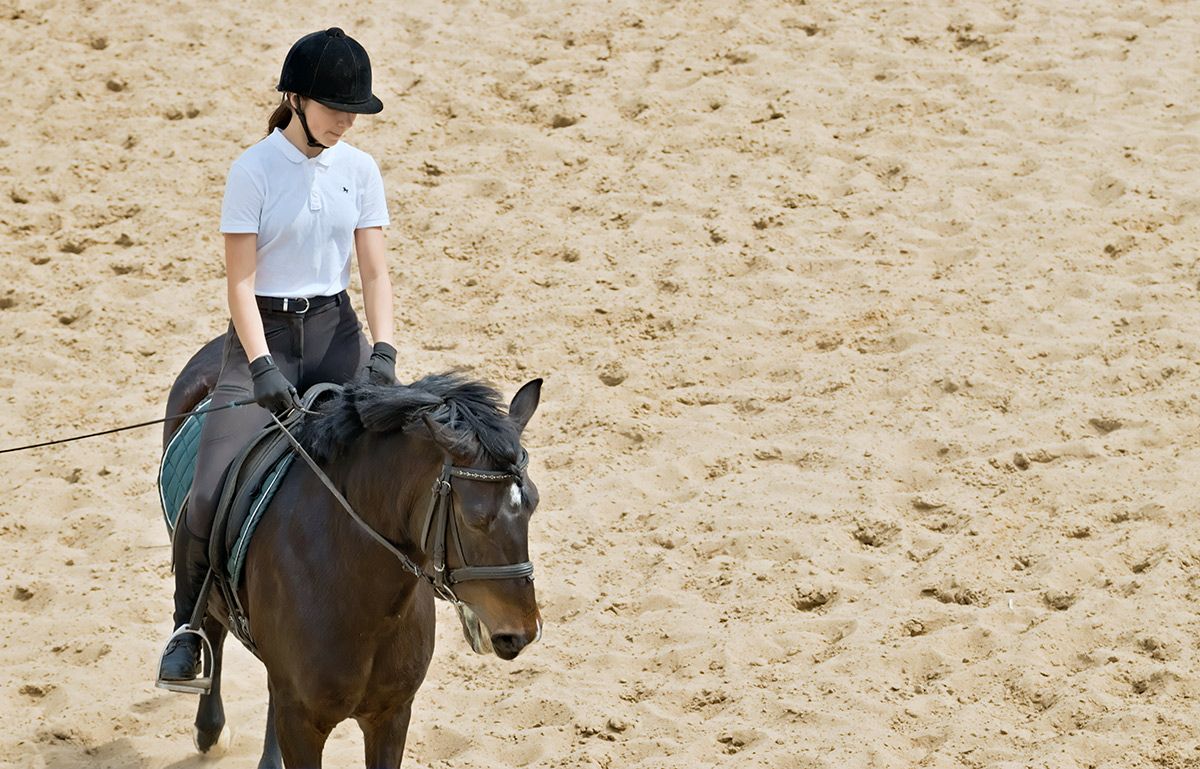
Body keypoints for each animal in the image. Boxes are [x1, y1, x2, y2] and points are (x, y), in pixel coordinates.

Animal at [163, 340, 544, 767]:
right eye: (475, 518)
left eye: (533, 504)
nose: (522, 633)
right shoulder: (300, 722)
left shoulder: (391, 714)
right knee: (209, 624)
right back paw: (207, 726)